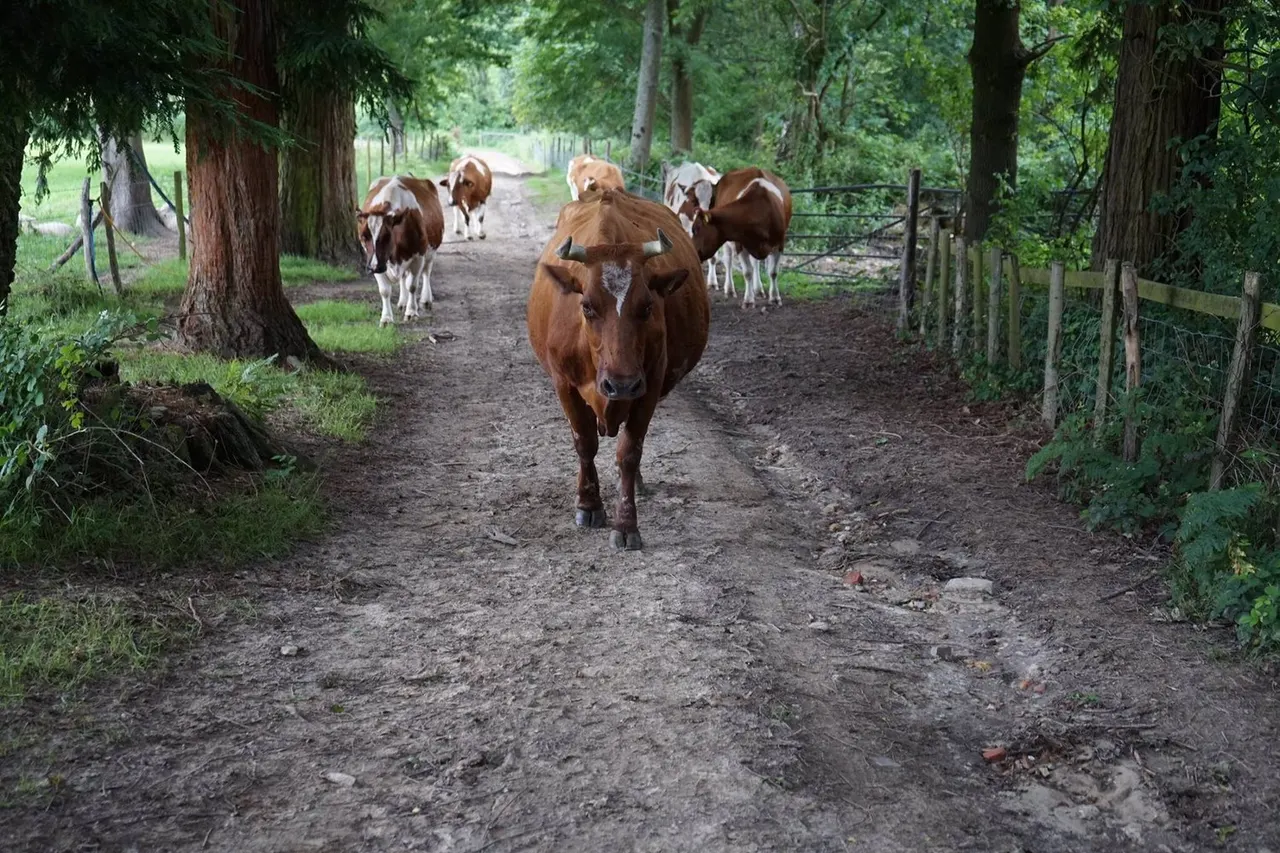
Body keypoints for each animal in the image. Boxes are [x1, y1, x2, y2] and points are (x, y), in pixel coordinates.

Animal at [356, 176, 445, 326]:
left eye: (386, 236)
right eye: (363, 237)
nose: (373, 267)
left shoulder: (418, 257)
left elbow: (412, 285)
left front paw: (412, 312)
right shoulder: (378, 262)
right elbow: (385, 290)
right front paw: (386, 318)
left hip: (431, 253)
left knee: (426, 273)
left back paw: (426, 300)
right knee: (403, 277)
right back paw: (402, 302)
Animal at [527, 189, 709, 551]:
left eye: (648, 306)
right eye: (586, 306)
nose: (621, 385)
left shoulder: (649, 385)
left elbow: (630, 452)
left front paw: (626, 523)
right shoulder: (563, 383)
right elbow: (584, 442)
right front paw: (588, 504)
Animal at [685, 167, 792, 308]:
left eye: (695, 229)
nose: (691, 251)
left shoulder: (779, 244)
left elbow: (773, 272)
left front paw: (774, 297)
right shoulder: (740, 244)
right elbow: (747, 272)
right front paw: (748, 300)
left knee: (755, 263)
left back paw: (758, 289)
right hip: (728, 243)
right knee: (728, 261)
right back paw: (730, 289)